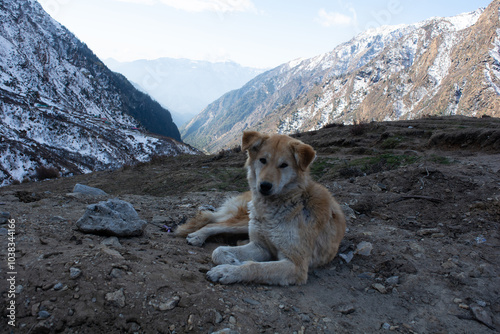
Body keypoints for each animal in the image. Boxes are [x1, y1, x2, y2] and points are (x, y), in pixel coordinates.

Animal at [174, 130, 346, 284]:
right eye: (263, 160)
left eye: (284, 165)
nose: (264, 186)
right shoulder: (261, 246)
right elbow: (218, 251)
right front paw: (232, 261)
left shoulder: (296, 265)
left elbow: (255, 267)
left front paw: (228, 270)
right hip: (247, 222)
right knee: (215, 223)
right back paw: (198, 235)